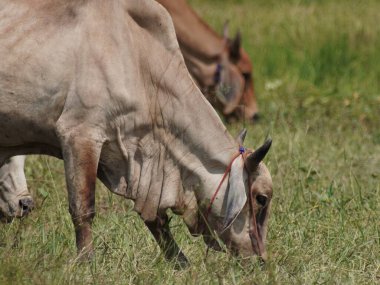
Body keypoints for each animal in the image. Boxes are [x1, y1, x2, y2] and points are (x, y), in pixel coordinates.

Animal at [0, 0, 274, 264]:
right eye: (261, 198)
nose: (261, 259)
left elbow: (156, 220)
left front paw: (180, 262)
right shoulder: (79, 135)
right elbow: (83, 208)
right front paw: (86, 262)